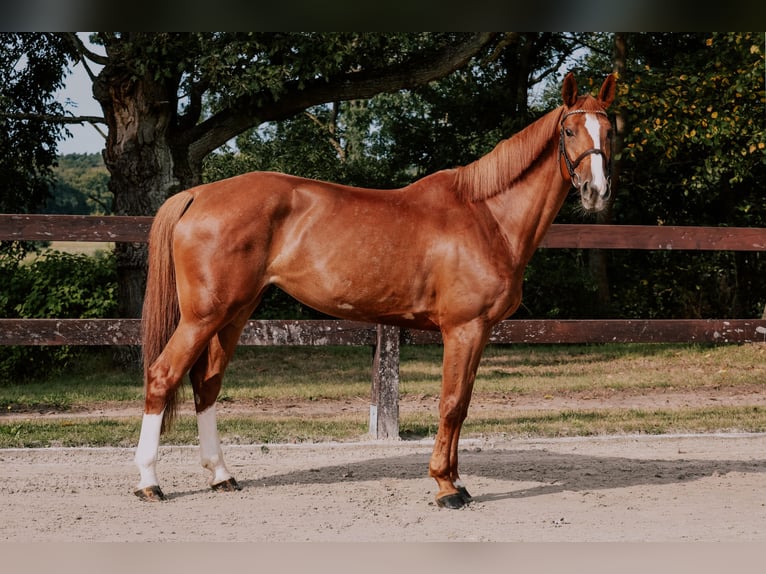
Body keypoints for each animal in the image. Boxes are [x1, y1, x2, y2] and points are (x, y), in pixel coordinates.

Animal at [136, 74, 616, 510]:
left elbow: (461, 406)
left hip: (234, 314)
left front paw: (457, 482)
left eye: (610, 131)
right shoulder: (463, 329)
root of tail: (198, 194)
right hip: (202, 316)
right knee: (162, 376)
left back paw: (221, 475)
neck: (487, 216)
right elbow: (451, 404)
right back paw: (149, 482)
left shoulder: (478, 333)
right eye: (569, 131)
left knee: (207, 384)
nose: (596, 192)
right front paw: (445, 487)